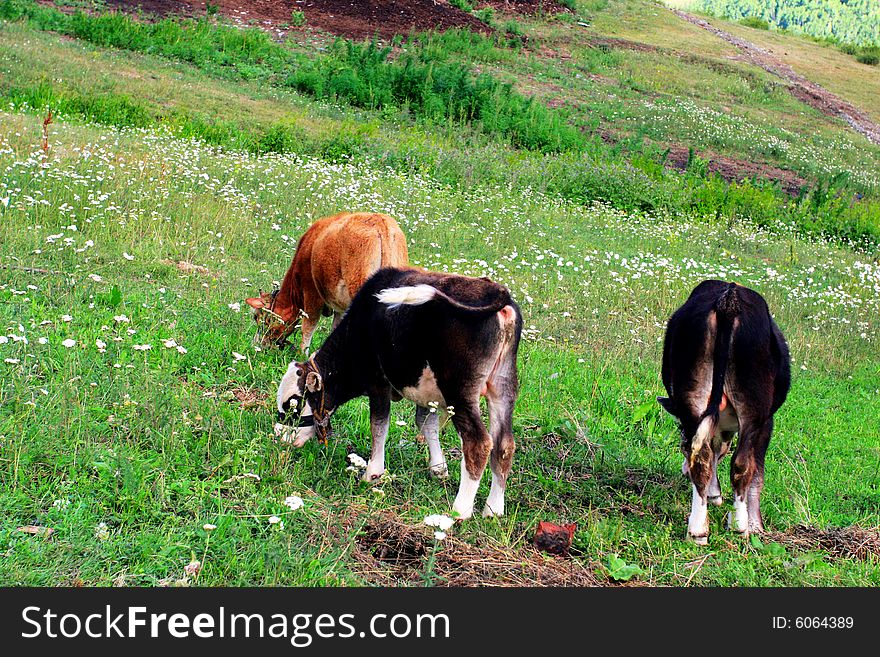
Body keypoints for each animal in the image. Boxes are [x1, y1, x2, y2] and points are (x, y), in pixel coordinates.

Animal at [244, 213, 410, 352]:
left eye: (258, 318)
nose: (259, 344)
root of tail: (380, 222)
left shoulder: (311, 293)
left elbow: (308, 327)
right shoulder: (340, 307)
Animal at [276, 266, 524, 516]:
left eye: (294, 404)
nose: (279, 437)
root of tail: (497, 292)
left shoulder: (377, 383)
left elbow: (379, 425)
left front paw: (372, 473)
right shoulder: (427, 395)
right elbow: (426, 424)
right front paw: (438, 468)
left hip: (460, 392)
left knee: (478, 443)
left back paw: (459, 511)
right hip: (503, 387)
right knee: (504, 445)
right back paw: (493, 510)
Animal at [660, 280, 792, 544]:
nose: (683, 471)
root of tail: (729, 300)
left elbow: (713, 450)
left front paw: (713, 494)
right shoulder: (767, 422)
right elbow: (756, 472)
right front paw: (755, 525)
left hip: (693, 398)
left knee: (702, 458)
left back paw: (697, 531)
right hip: (754, 409)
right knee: (742, 465)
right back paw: (739, 525)